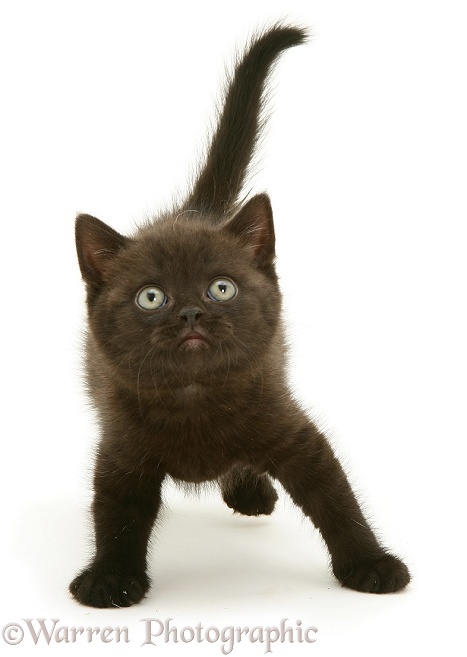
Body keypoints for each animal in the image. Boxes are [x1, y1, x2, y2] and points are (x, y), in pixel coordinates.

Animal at [68, 23, 410, 608]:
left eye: (221, 288)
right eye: (150, 297)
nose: (190, 314)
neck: (194, 397)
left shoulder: (288, 424)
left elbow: (336, 498)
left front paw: (370, 564)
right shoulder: (120, 447)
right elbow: (114, 512)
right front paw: (110, 577)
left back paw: (248, 488)